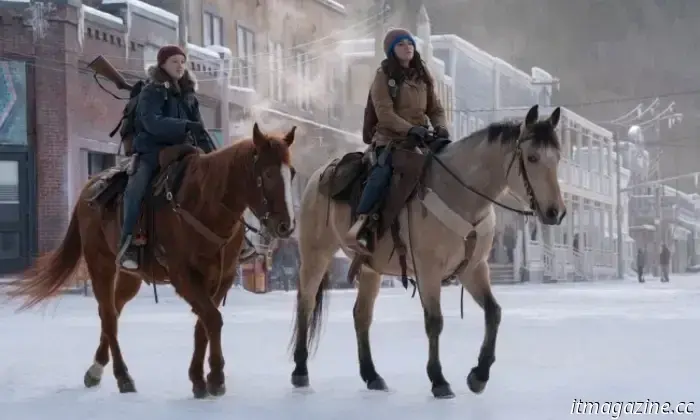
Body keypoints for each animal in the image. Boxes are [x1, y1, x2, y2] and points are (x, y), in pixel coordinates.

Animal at [5, 121, 296, 398]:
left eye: (291, 173)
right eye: (268, 173)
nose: (286, 226)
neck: (205, 205)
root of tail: (88, 189)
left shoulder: (221, 277)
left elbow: (203, 322)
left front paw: (198, 379)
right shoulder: (183, 275)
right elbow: (212, 319)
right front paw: (214, 378)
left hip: (129, 276)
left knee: (113, 312)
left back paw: (96, 369)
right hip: (100, 263)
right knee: (108, 314)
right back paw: (123, 377)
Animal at [288, 104, 568, 398]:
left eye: (557, 157)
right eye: (532, 157)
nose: (556, 212)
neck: (460, 195)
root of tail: (319, 175)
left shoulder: (474, 269)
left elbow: (493, 312)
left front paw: (479, 375)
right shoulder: (428, 270)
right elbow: (435, 321)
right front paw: (439, 379)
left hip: (369, 268)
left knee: (361, 315)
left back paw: (372, 375)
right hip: (316, 254)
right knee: (306, 304)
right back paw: (300, 371)